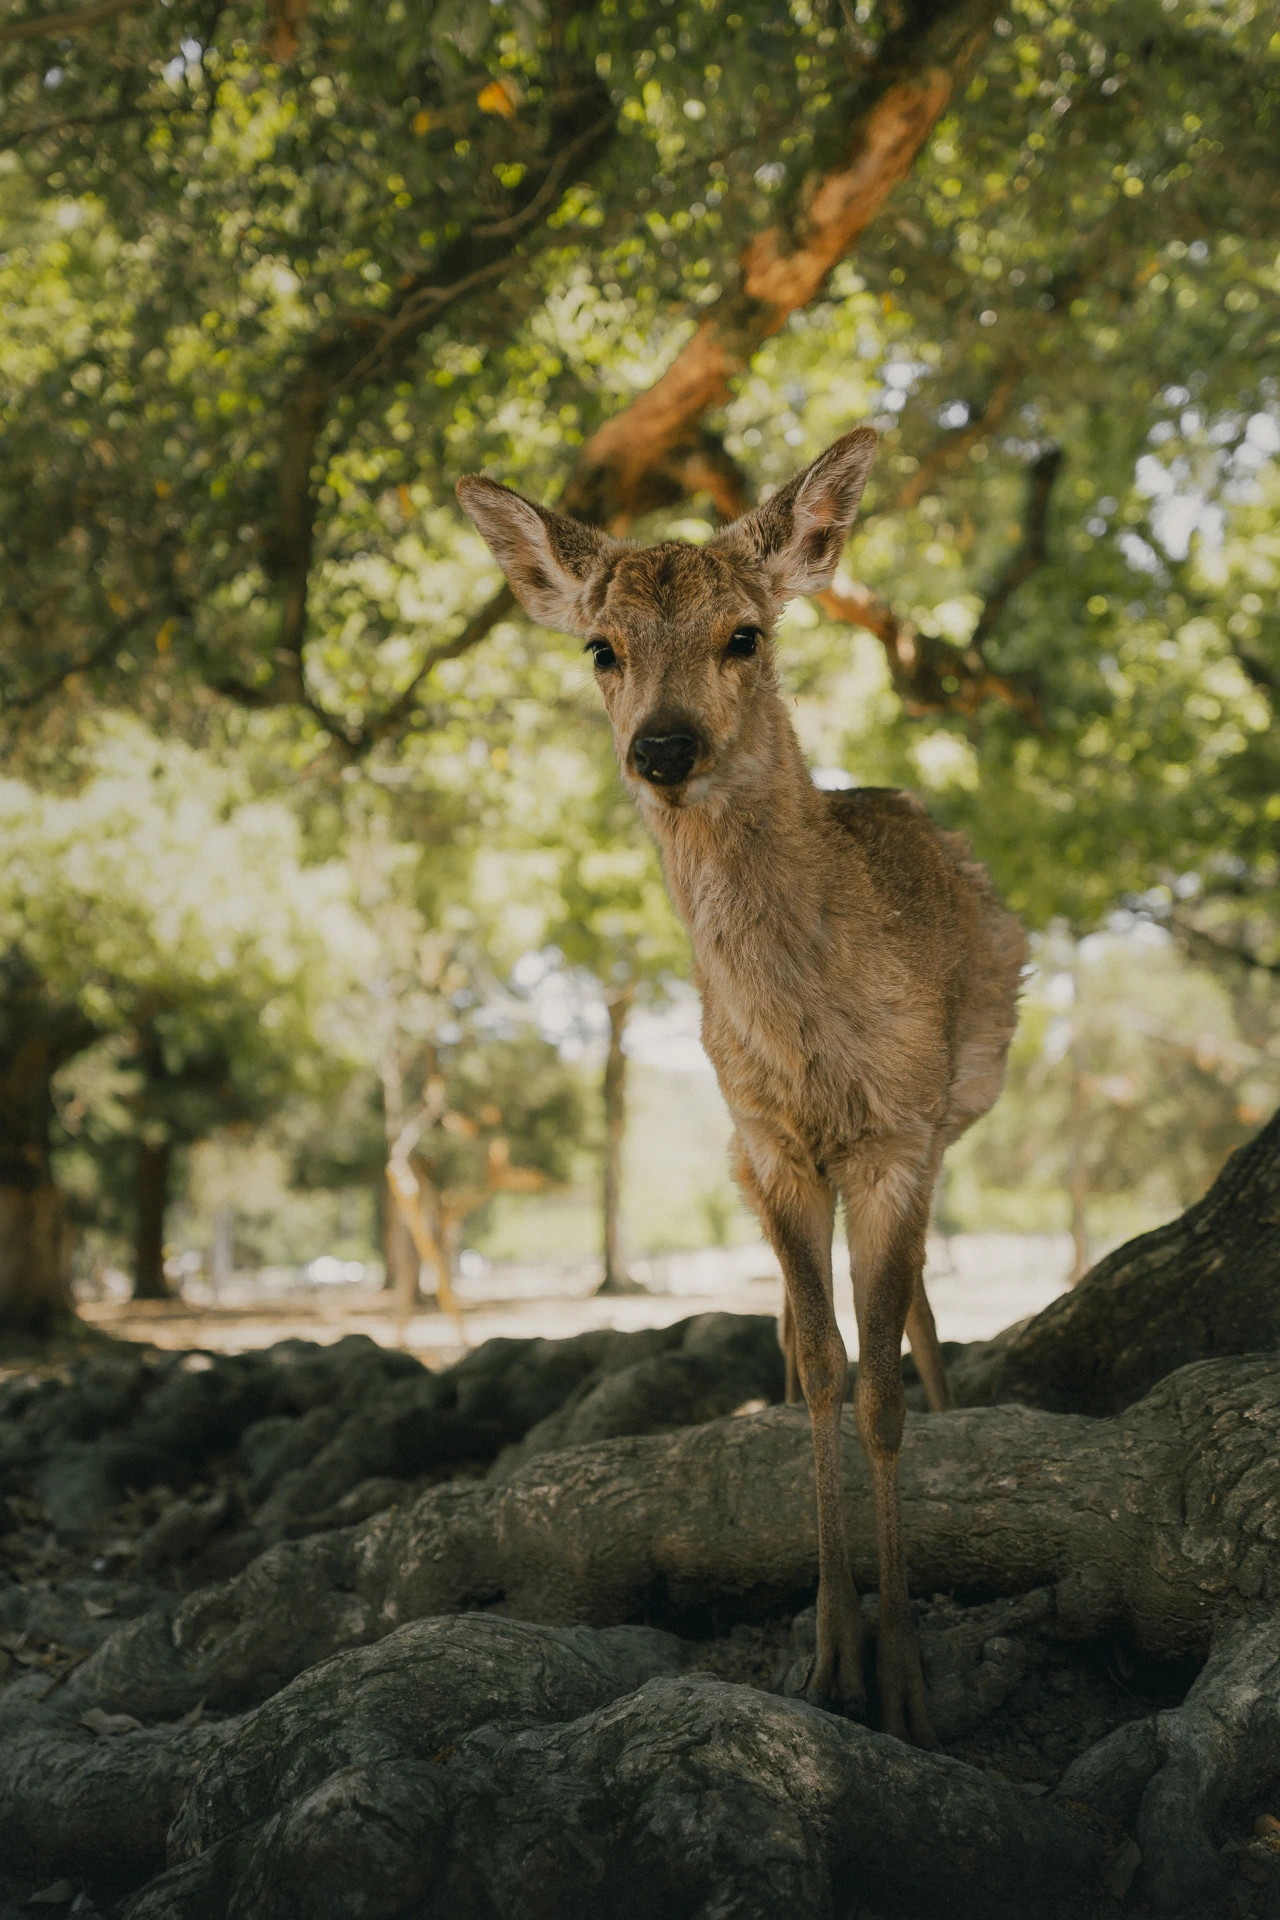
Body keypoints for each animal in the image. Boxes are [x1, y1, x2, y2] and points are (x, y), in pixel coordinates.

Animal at [457, 426, 1026, 1747]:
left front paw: (905, 1678)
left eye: (744, 635)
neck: (810, 1038)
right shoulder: (765, 1143)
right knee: (802, 1322)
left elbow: (875, 1390)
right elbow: (819, 1369)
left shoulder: (895, 1134)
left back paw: (951, 1399)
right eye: (599, 648)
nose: (662, 747)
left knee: (915, 1315)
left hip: (953, 1110)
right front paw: (829, 1654)